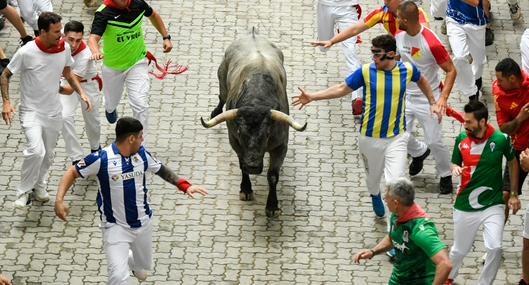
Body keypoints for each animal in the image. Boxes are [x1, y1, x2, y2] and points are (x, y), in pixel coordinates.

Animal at [200, 31, 306, 216]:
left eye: (267, 134)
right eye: (240, 132)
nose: (253, 166)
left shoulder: (280, 146)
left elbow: (272, 176)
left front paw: (272, 205)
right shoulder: (234, 141)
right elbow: (241, 164)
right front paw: (246, 189)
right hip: (222, 80)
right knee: (221, 97)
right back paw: (215, 112)